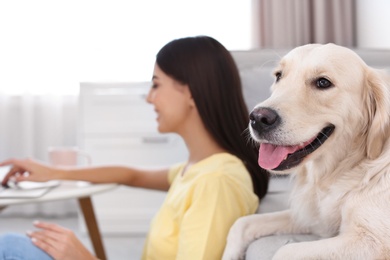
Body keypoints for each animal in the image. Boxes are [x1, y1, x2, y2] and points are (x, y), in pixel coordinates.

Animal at [222, 43, 390, 258]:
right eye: (279, 76)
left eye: (323, 82)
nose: (258, 118)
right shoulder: (313, 217)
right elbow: (242, 223)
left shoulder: (372, 241)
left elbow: (285, 250)